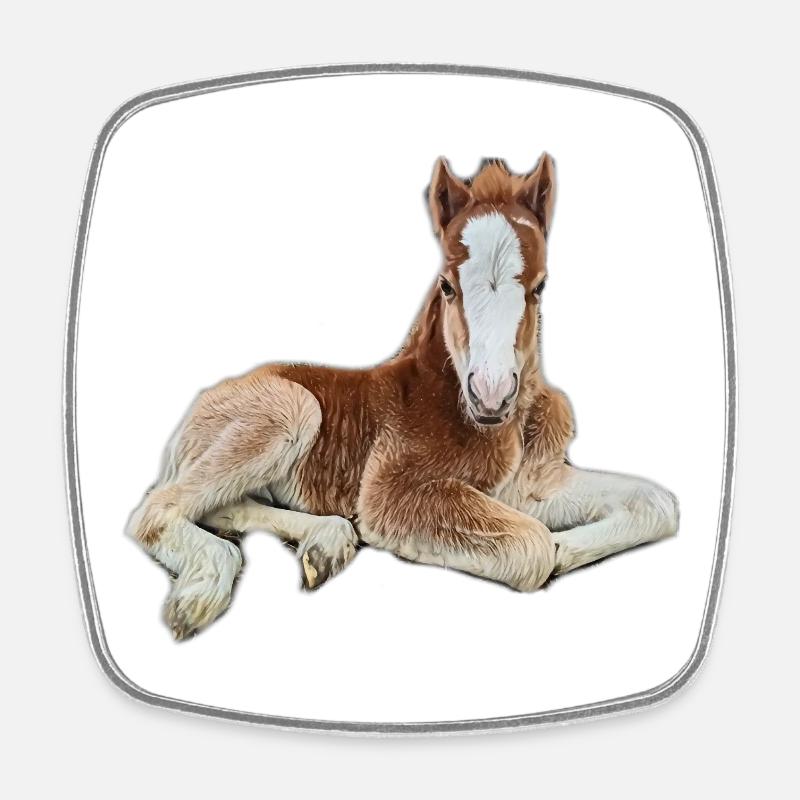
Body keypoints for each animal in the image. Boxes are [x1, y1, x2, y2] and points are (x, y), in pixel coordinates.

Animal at [127, 154, 679, 640]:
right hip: (290, 410)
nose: (491, 397)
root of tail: (202, 404)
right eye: (448, 286)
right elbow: (533, 546)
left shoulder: (531, 485)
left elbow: (657, 503)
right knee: (154, 510)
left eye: (539, 287)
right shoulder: (392, 493)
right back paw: (205, 587)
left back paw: (326, 544)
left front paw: (568, 548)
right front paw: (554, 551)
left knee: (221, 503)